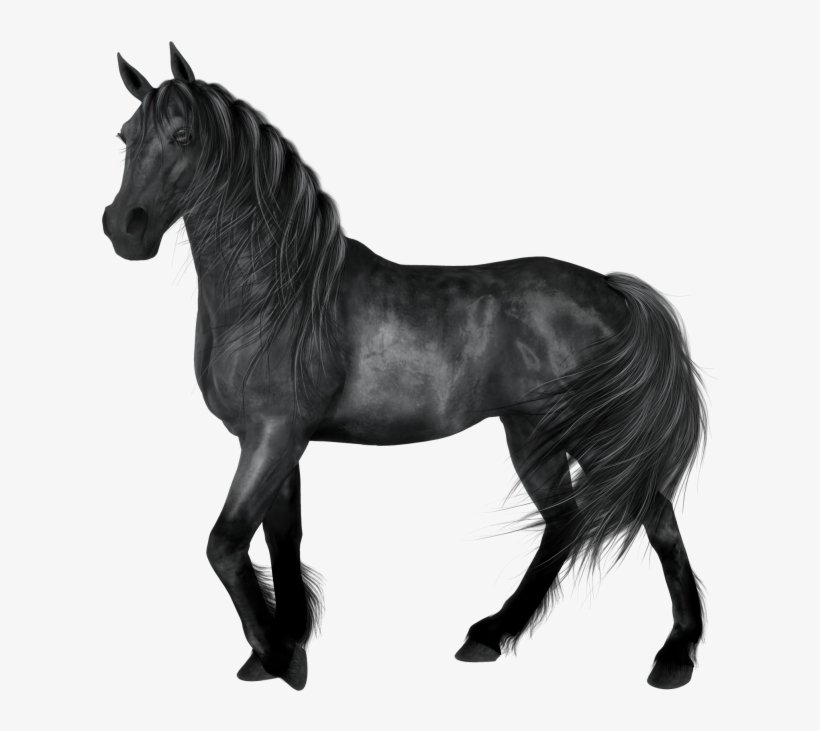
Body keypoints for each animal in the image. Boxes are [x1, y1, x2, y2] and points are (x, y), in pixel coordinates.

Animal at [103, 43, 708, 692]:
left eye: (184, 135)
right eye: (124, 135)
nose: (124, 227)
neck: (278, 293)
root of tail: (612, 292)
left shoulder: (274, 435)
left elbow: (225, 544)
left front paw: (277, 656)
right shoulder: (274, 440)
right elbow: (283, 538)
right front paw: (287, 645)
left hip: (590, 432)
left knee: (657, 519)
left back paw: (675, 655)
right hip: (530, 432)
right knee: (565, 524)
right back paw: (490, 635)